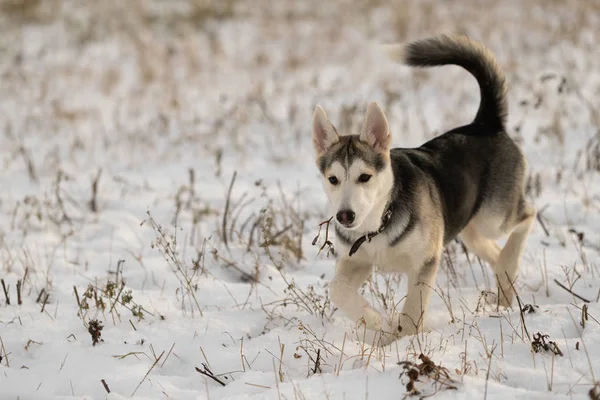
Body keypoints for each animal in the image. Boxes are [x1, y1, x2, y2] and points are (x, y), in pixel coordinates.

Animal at [312, 33, 536, 340]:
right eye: (332, 179)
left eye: (364, 177)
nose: (345, 216)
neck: (378, 223)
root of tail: (485, 123)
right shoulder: (356, 260)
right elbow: (337, 290)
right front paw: (374, 321)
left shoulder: (425, 262)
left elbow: (413, 309)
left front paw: (403, 339)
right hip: (467, 226)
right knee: (493, 251)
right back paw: (504, 285)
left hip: (493, 217)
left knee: (528, 215)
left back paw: (510, 263)